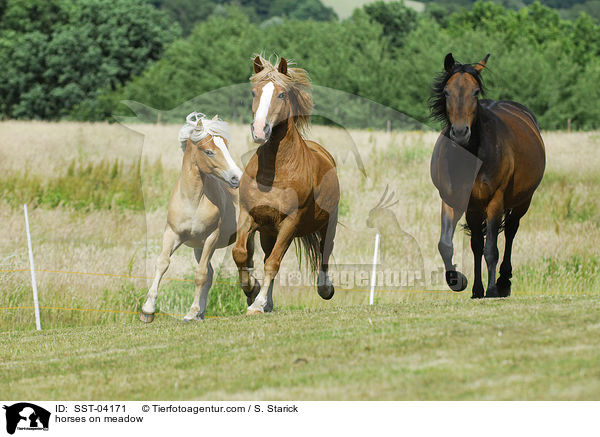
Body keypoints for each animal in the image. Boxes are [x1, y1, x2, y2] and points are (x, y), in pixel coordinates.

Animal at [139, 113, 243, 320]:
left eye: (226, 146)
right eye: (209, 151)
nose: (236, 178)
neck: (193, 201)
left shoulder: (211, 237)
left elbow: (200, 274)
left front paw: (192, 311)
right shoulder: (173, 234)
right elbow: (162, 263)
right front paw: (148, 309)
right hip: (198, 248)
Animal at [233, 55, 340, 314]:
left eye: (281, 94)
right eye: (254, 92)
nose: (260, 130)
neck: (274, 173)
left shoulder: (290, 222)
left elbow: (273, 264)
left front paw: (257, 303)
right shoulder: (249, 215)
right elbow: (241, 254)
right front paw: (252, 291)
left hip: (326, 224)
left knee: (324, 253)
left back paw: (325, 289)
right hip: (268, 233)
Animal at [428, 52, 548, 296]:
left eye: (475, 92)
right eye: (446, 92)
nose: (460, 132)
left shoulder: (495, 200)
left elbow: (492, 249)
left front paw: (492, 290)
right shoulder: (452, 201)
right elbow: (446, 245)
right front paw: (457, 280)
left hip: (522, 201)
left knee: (510, 232)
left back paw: (502, 282)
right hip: (475, 208)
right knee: (476, 244)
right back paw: (477, 290)